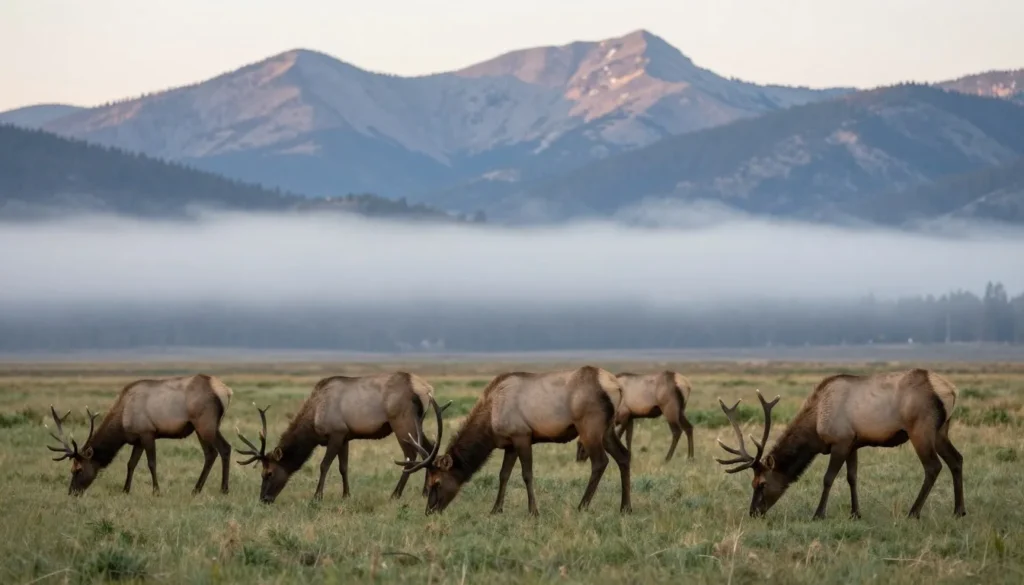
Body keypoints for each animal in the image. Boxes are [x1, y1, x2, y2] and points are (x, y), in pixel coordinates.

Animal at [46, 374, 235, 496]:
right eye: (72, 469)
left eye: (78, 469)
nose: (72, 492)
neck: (122, 423)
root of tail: (226, 391)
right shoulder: (136, 439)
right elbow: (131, 464)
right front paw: (125, 490)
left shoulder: (147, 433)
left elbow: (151, 463)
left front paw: (156, 491)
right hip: (204, 427)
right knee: (217, 451)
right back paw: (208, 489)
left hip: (205, 424)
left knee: (219, 450)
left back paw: (213, 489)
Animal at [235, 372, 451, 504]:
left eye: (269, 473)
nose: (264, 499)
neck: (314, 420)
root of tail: (426, 389)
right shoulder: (346, 437)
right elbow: (343, 467)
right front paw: (346, 495)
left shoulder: (336, 433)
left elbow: (324, 465)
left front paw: (317, 496)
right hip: (416, 423)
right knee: (429, 449)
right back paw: (424, 491)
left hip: (402, 422)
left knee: (411, 455)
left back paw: (395, 494)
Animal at [395, 365, 632, 516]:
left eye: (436, 482)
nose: (429, 511)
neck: (491, 421)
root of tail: (616, 387)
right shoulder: (509, 444)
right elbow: (504, 475)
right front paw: (496, 509)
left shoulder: (522, 435)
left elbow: (527, 474)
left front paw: (533, 511)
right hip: (607, 428)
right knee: (624, 456)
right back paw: (625, 507)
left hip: (590, 426)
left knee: (600, 462)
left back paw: (582, 506)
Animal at [715, 368, 965, 520]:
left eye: (761, 483)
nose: (753, 512)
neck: (816, 426)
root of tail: (950, 390)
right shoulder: (854, 443)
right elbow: (852, 477)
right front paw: (855, 513)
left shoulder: (841, 440)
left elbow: (828, 478)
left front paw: (818, 514)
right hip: (941, 430)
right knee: (957, 459)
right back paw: (959, 511)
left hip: (921, 428)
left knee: (933, 467)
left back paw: (913, 512)